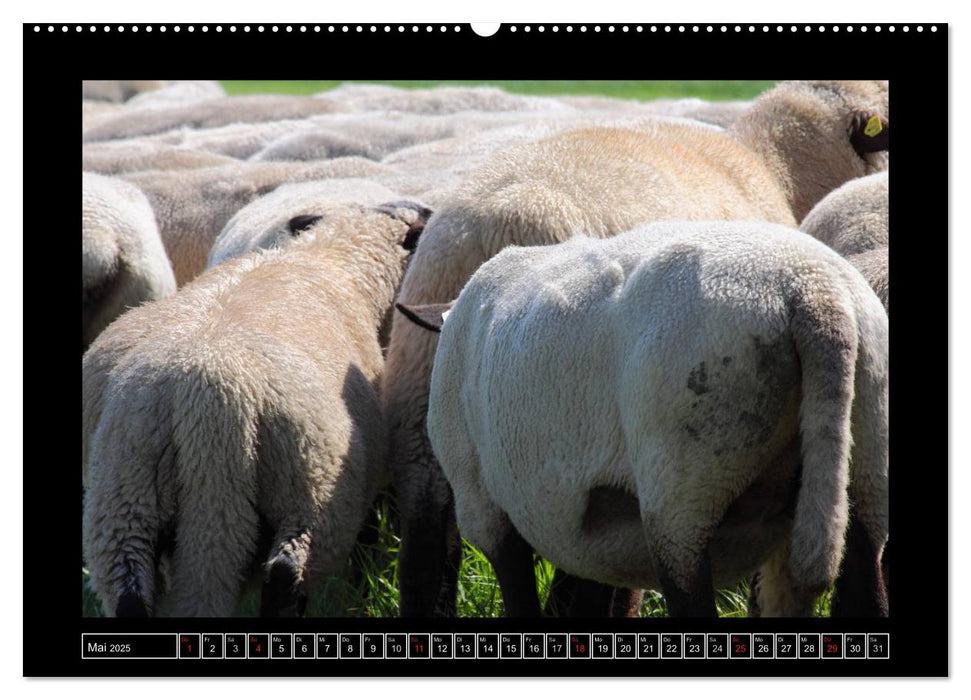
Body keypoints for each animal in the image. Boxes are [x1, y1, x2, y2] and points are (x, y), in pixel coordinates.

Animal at [81, 200, 430, 616]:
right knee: (284, 574)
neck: (332, 255)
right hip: (308, 492)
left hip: (123, 498)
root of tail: (206, 399)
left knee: (129, 592)